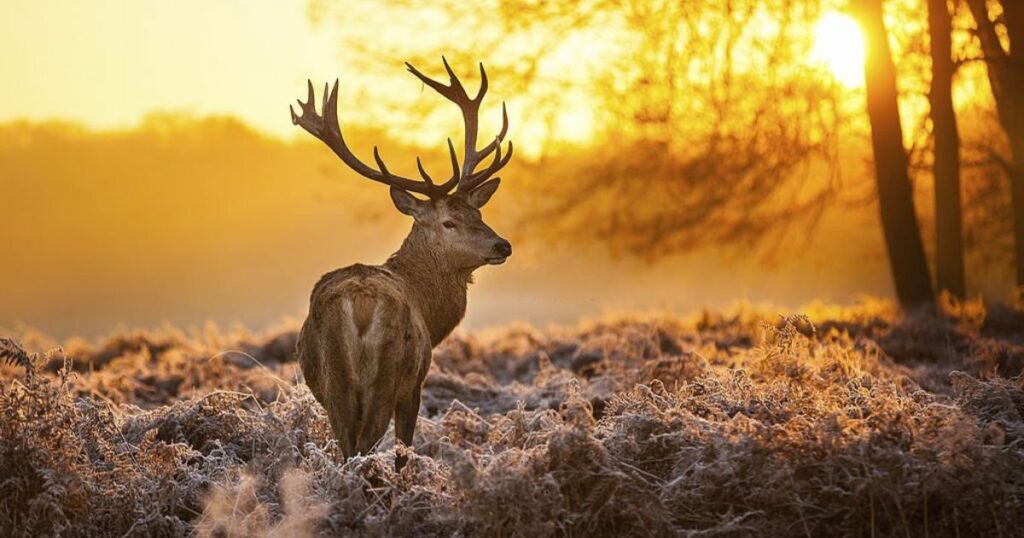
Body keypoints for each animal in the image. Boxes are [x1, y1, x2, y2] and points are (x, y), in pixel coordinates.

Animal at [290, 59, 513, 470]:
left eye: (478, 212)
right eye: (449, 222)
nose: (502, 244)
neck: (429, 309)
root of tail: (360, 304)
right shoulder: (415, 384)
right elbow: (403, 452)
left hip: (334, 383)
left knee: (347, 448)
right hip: (387, 375)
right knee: (364, 446)